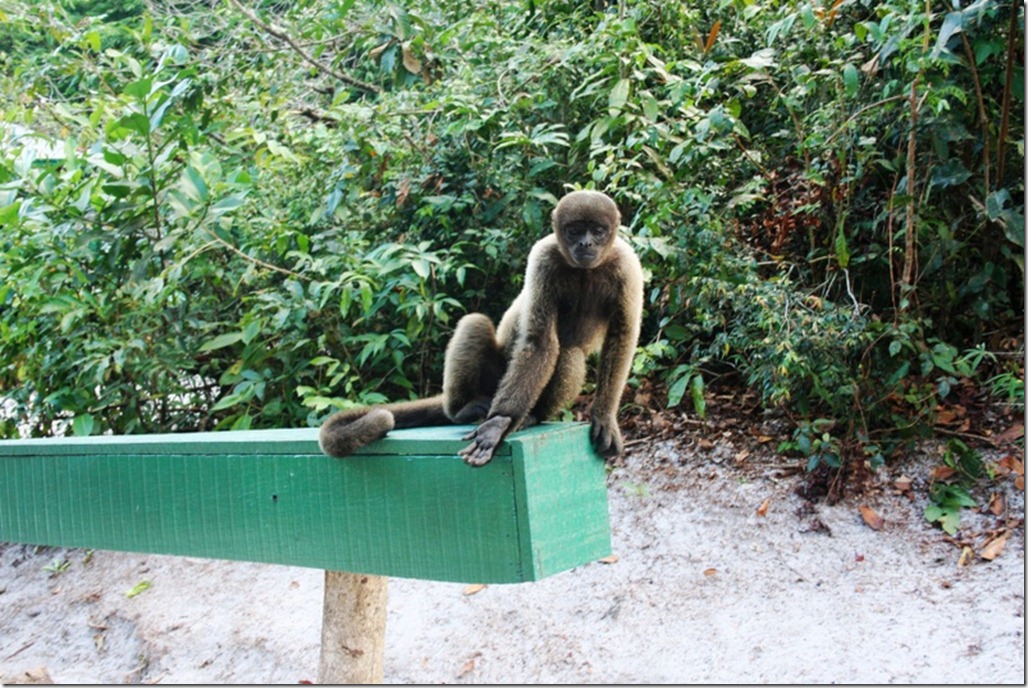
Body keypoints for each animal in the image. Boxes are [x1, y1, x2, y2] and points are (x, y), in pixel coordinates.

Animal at [320, 188, 641, 466]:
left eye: (597, 230)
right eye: (574, 230)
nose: (586, 243)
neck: (585, 271)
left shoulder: (627, 266)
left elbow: (621, 337)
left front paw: (603, 416)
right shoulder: (543, 257)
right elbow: (539, 341)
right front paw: (500, 422)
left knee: (570, 353)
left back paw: (532, 416)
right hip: (492, 379)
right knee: (476, 323)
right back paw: (465, 410)